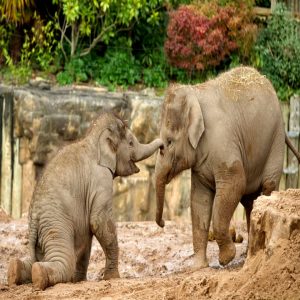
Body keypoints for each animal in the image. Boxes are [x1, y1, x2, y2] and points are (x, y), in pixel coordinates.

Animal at [8, 111, 164, 290]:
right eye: (131, 143)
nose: (164, 146)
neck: (91, 138)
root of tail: (34, 217)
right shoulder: (100, 178)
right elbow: (99, 221)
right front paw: (112, 278)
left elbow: (87, 237)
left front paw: (79, 281)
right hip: (56, 225)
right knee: (63, 261)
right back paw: (39, 275)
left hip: (40, 233)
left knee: (32, 260)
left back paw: (15, 270)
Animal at [155, 68, 300, 270]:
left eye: (169, 142)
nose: (162, 223)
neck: (194, 93)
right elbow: (199, 199)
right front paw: (198, 267)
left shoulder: (224, 143)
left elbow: (235, 185)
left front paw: (225, 259)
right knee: (250, 201)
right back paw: (248, 255)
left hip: (275, 141)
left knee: (266, 188)